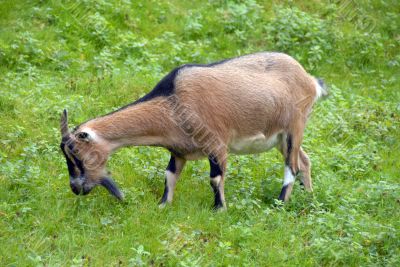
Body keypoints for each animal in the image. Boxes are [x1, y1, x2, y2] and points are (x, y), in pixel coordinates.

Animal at [60, 52, 328, 210]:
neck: (173, 102)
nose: (76, 188)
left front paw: (219, 209)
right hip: (281, 137)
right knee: (304, 161)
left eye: (77, 155)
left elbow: (215, 178)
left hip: (295, 125)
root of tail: (310, 81)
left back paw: (280, 204)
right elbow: (169, 176)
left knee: (291, 166)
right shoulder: (178, 150)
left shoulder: (216, 144)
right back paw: (309, 197)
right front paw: (162, 206)